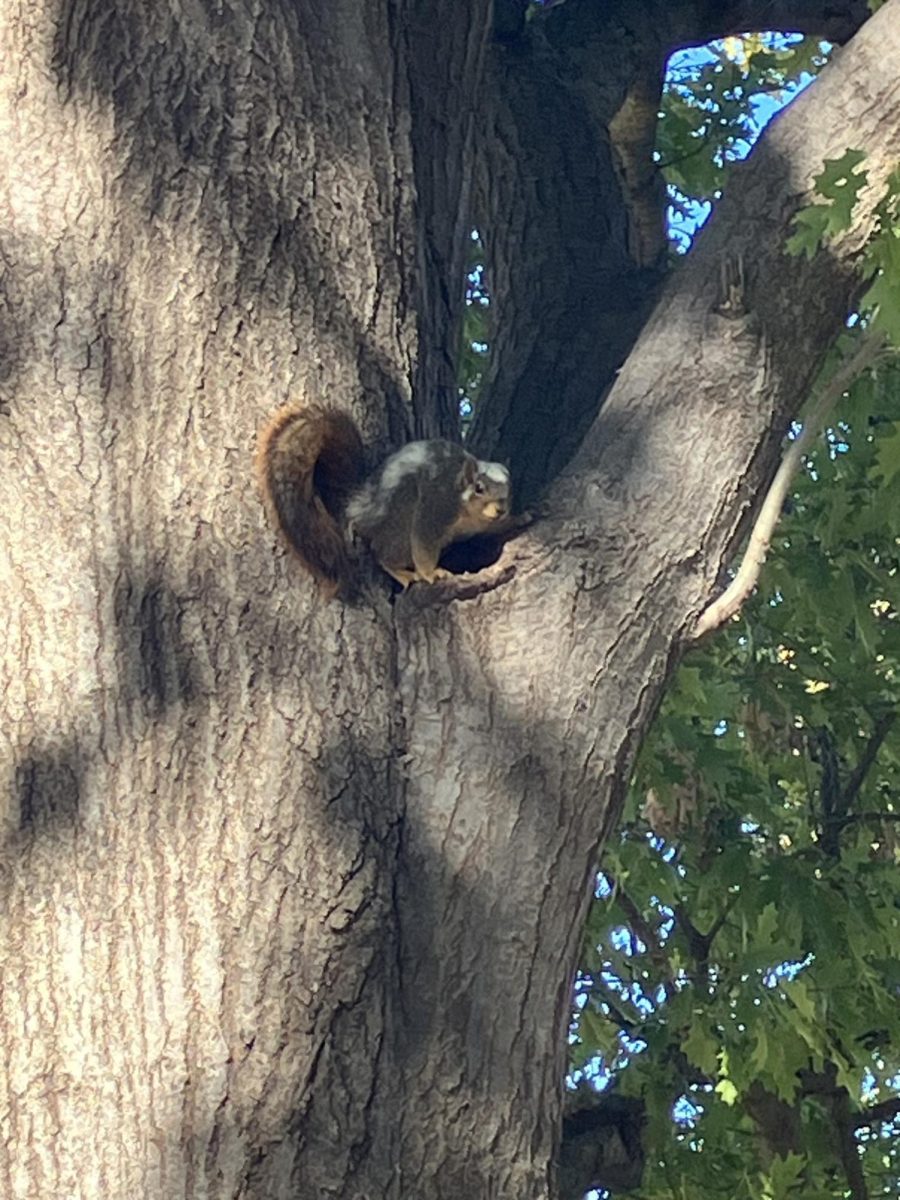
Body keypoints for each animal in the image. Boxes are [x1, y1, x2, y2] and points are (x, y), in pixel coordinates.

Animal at [259, 405, 513, 597]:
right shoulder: (437, 504)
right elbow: (424, 543)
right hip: (400, 516)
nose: (501, 510)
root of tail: (357, 504)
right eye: (479, 488)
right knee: (381, 552)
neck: (469, 513)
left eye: (509, 490)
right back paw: (403, 573)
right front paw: (432, 573)